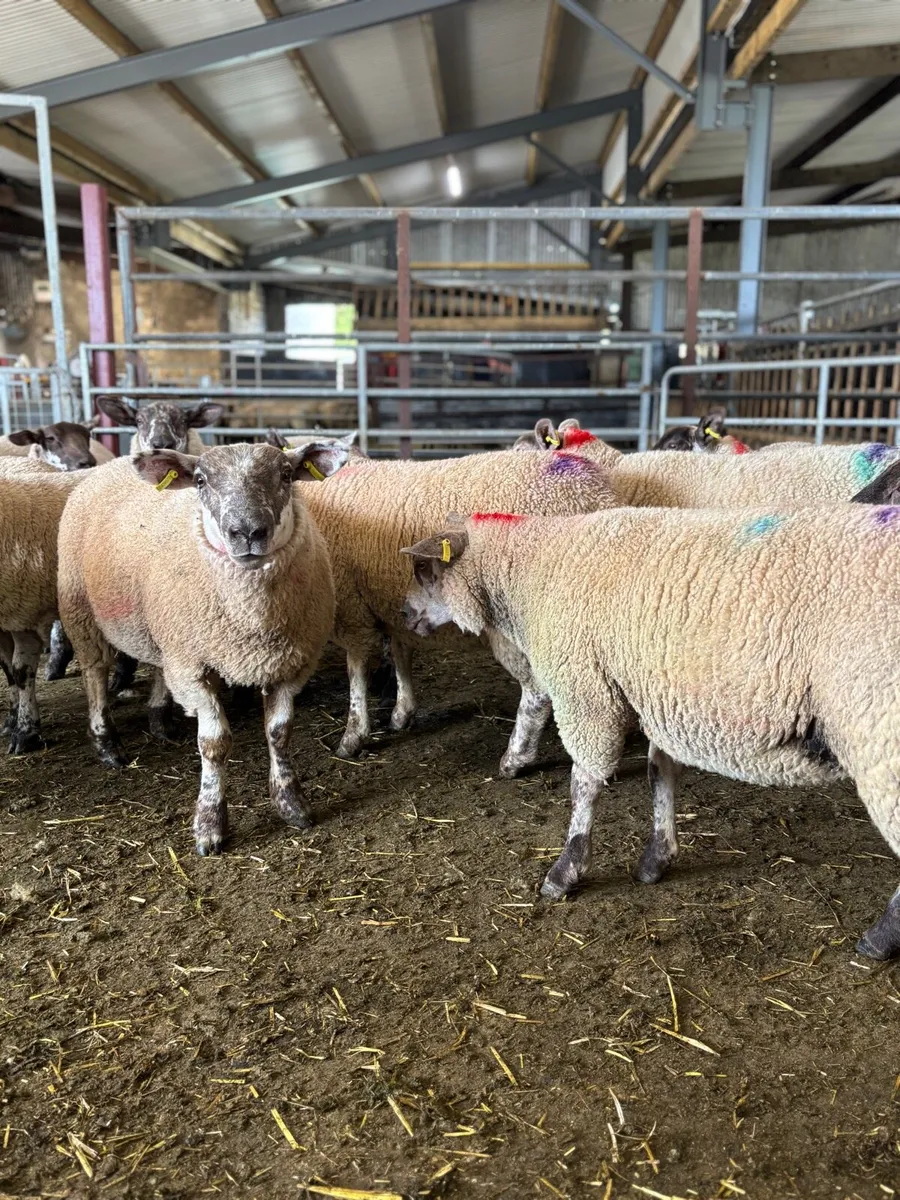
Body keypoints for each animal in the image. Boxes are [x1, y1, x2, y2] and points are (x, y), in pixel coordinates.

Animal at [57, 441, 343, 855]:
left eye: (287, 474)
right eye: (200, 480)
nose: (247, 532)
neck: (252, 620)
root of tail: (113, 463)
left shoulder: (289, 665)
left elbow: (279, 732)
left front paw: (292, 805)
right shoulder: (194, 669)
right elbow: (214, 743)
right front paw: (209, 825)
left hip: (164, 632)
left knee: (158, 666)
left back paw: (159, 718)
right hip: (81, 610)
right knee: (95, 672)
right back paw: (107, 744)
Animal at [297, 446, 618, 770]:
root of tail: (595, 491)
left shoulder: (351, 610)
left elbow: (357, 671)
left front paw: (353, 735)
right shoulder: (386, 605)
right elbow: (399, 651)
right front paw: (401, 711)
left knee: (536, 688)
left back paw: (516, 757)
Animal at [402, 504, 900, 959]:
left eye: (425, 568)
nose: (404, 614)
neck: (531, 568)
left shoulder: (585, 689)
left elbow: (583, 785)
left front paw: (566, 871)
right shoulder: (657, 695)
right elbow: (660, 773)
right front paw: (656, 858)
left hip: (879, 732)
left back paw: (880, 939)